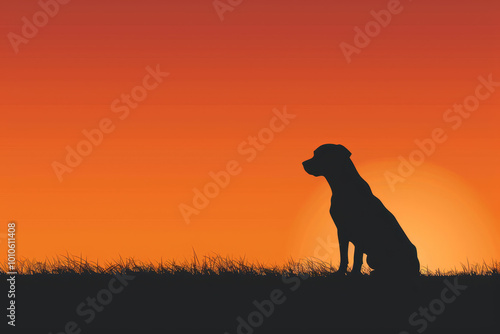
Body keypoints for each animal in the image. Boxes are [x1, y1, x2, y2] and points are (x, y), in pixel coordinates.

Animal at [302, 144, 420, 276]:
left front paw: (354, 274)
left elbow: (356, 256)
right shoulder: (341, 230)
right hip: (372, 258)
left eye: (321, 154)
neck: (344, 185)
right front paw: (340, 272)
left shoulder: (360, 230)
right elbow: (344, 255)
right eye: (314, 153)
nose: (303, 163)